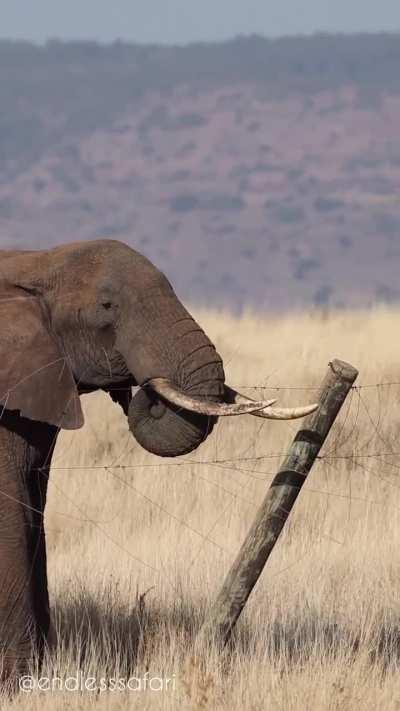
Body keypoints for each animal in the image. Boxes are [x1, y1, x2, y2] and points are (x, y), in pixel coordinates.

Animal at [0, 239, 317, 685]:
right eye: (107, 306)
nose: (144, 392)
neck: (37, 260)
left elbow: (32, 509)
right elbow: (9, 510)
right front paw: (20, 681)